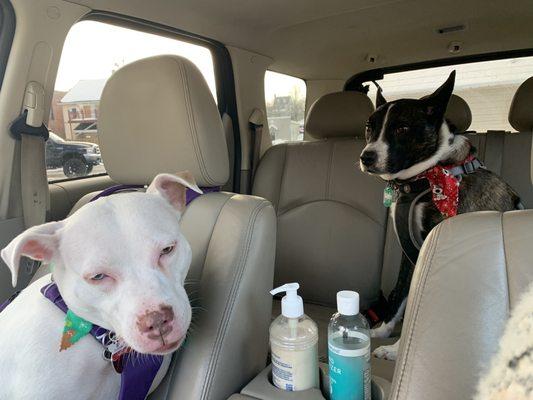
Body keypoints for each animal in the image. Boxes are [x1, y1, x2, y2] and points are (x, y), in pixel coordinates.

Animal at [358, 71, 520, 360]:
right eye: (369, 127)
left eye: (402, 129)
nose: (367, 157)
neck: (424, 178)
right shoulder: (409, 254)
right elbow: (401, 293)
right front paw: (382, 331)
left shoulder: (432, 247)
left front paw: (397, 350)